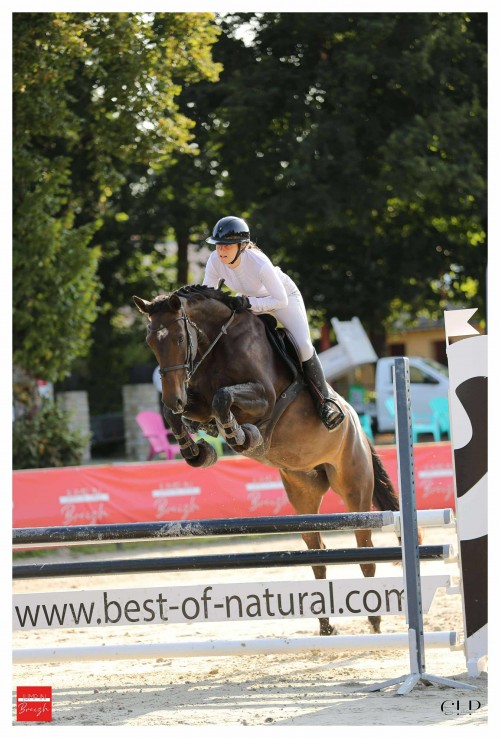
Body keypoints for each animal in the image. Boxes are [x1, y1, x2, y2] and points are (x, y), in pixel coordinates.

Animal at [133, 285, 401, 636]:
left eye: (178, 338)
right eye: (151, 342)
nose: (173, 396)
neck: (216, 344)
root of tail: (357, 423)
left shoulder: (262, 398)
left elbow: (223, 398)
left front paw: (241, 436)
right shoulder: (197, 402)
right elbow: (180, 414)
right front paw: (198, 452)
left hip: (354, 489)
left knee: (365, 550)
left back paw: (375, 620)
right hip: (303, 494)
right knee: (317, 552)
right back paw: (326, 626)